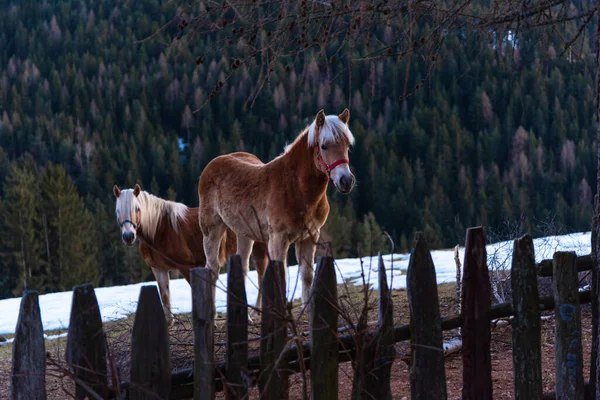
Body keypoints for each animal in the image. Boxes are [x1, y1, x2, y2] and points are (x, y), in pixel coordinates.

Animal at [113, 184, 268, 324]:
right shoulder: (159, 269)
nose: (128, 237)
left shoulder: (185, 266)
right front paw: (169, 322)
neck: (160, 230)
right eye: (117, 211)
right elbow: (164, 295)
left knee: (261, 278)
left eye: (137, 209)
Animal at [197, 108, 356, 312]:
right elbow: (280, 279)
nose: (346, 181)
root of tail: (213, 164)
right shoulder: (278, 239)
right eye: (324, 146)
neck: (296, 189)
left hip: (244, 233)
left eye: (347, 145)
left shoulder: (309, 237)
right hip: (212, 229)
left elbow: (307, 276)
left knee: (242, 267)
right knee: (213, 268)